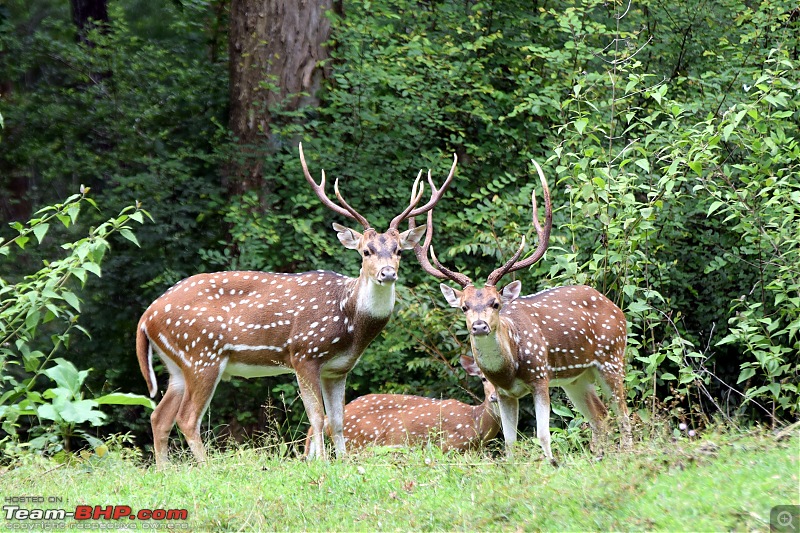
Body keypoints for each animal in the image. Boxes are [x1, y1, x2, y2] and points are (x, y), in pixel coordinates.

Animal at [138, 143, 456, 464]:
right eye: (366, 251)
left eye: (398, 250)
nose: (387, 272)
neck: (350, 323)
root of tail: (146, 317)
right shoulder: (304, 353)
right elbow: (317, 417)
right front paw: (322, 463)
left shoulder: (338, 369)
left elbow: (337, 420)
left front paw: (342, 462)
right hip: (202, 354)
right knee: (187, 418)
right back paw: (206, 466)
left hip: (178, 365)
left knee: (159, 416)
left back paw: (165, 469)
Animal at [306, 354, 500, 454]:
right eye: (483, 378)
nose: (494, 397)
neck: (475, 422)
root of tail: (328, 420)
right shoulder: (448, 445)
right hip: (357, 443)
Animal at [412, 160, 632, 464]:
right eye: (465, 307)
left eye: (495, 303)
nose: (479, 326)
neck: (509, 369)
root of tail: (614, 307)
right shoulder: (505, 394)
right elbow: (509, 442)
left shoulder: (540, 376)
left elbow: (542, 434)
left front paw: (552, 465)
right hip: (576, 377)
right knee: (600, 415)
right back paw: (598, 457)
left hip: (611, 356)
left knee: (624, 414)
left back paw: (628, 453)